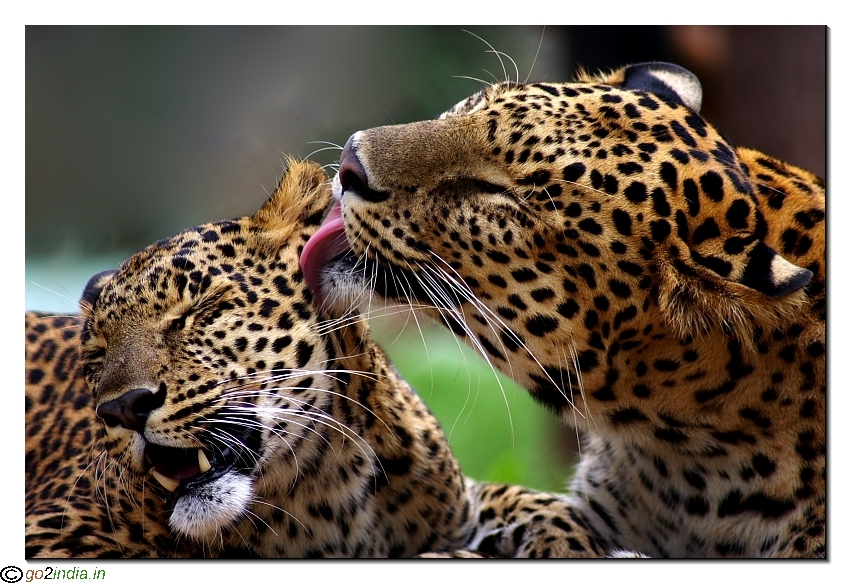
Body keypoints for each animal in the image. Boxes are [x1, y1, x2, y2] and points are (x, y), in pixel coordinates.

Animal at [25, 159, 604, 559]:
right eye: (97, 354)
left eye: (199, 310)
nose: (122, 408)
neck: (325, 490)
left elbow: (532, 499)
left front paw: (569, 536)